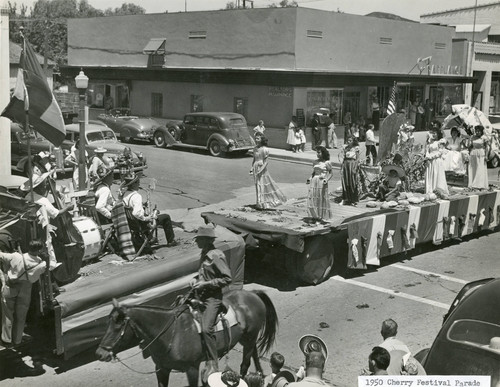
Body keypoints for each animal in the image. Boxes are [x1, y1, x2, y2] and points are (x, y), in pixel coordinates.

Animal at [95, 292, 280, 387]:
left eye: (118, 326)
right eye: (107, 323)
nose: (100, 353)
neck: (171, 333)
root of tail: (252, 294)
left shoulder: (192, 369)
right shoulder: (161, 369)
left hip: (249, 338)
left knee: (245, 363)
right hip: (246, 338)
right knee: (254, 353)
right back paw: (260, 374)